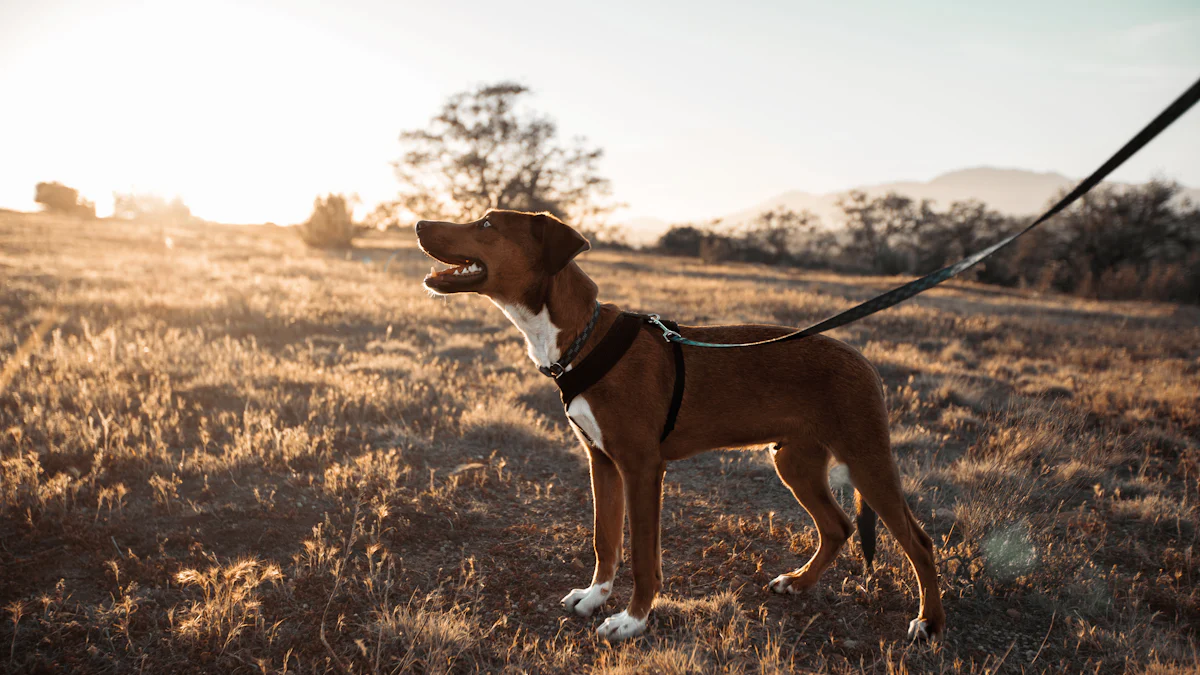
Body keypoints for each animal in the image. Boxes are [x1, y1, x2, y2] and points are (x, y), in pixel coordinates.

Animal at [417, 207, 940, 638]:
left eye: (487, 224)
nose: (419, 224)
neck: (582, 337)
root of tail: (863, 360)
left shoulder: (642, 468)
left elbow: (643, 557)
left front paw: (632, 620)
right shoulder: (602, 462)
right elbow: (605, 540)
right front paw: (594, 597)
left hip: (866, 458)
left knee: (919, 542)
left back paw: (929, 623)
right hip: (796, 462)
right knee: (837, 527)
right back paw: (799, 582)